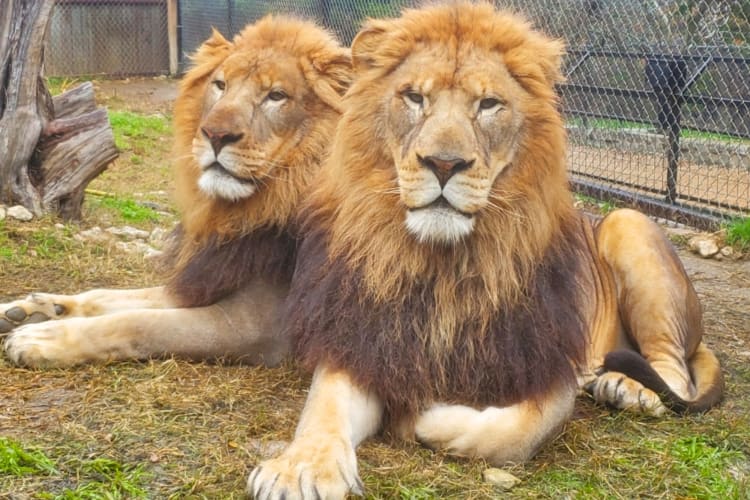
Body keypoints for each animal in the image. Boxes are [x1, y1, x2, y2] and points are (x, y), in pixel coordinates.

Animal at [0, 15, 352, 368]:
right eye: (220, 85)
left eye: (277, 95)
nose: (215, 134)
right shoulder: (205, 280)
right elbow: (109, 296)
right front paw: (29, 309)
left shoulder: (260, 326)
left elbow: (138, 322)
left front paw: (44, 337)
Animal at [250, 2, 724, 496]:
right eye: (414, 98)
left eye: (488, 104)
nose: (444, 164)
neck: (442, 267)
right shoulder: (365, 341)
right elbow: (323, 409)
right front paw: (301, 469)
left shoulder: (544, 368)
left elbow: (512, 433)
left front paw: (422, 415)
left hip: (627, 224)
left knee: (673, 369)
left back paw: (629, 388)